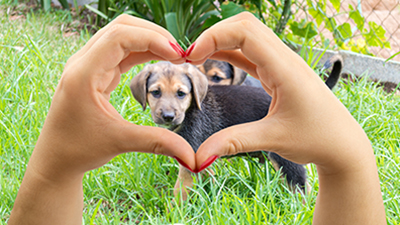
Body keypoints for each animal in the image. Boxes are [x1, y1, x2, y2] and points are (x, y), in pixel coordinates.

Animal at [130, 58, 342, 200]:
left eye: (181, 93)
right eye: (155, 93)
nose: (167, 116)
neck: (191, 110)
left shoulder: (191, 158)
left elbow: (181, 189)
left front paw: (176, 212)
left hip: (284, 155)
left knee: (300, 186)